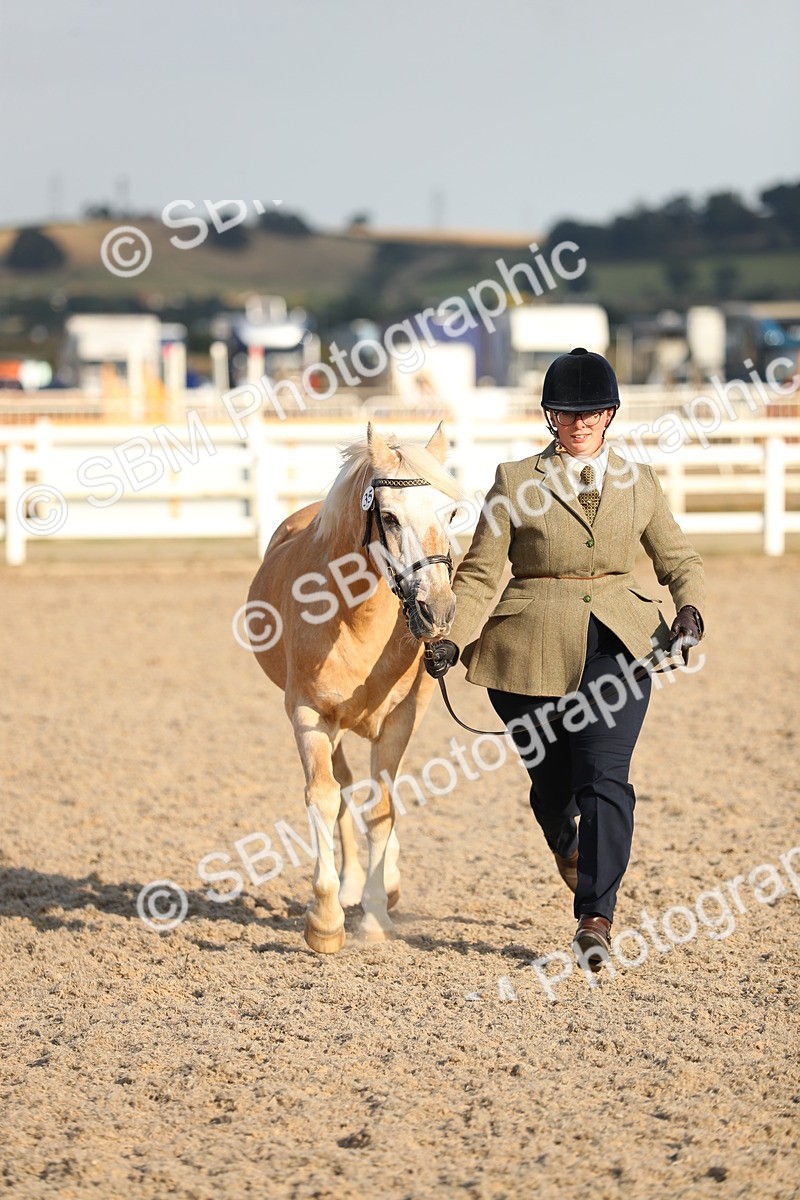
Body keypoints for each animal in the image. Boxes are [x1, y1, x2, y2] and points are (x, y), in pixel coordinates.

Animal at [247, 422, 463, 953]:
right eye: (388, 517)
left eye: (450, 513)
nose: (438, 610)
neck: (356, 619)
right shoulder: (310, 715)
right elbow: (325, 797)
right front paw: (326, 920)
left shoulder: (401, 718)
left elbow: (382, 807)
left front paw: (376, 915)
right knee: (342, 788)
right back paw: (348, 887)